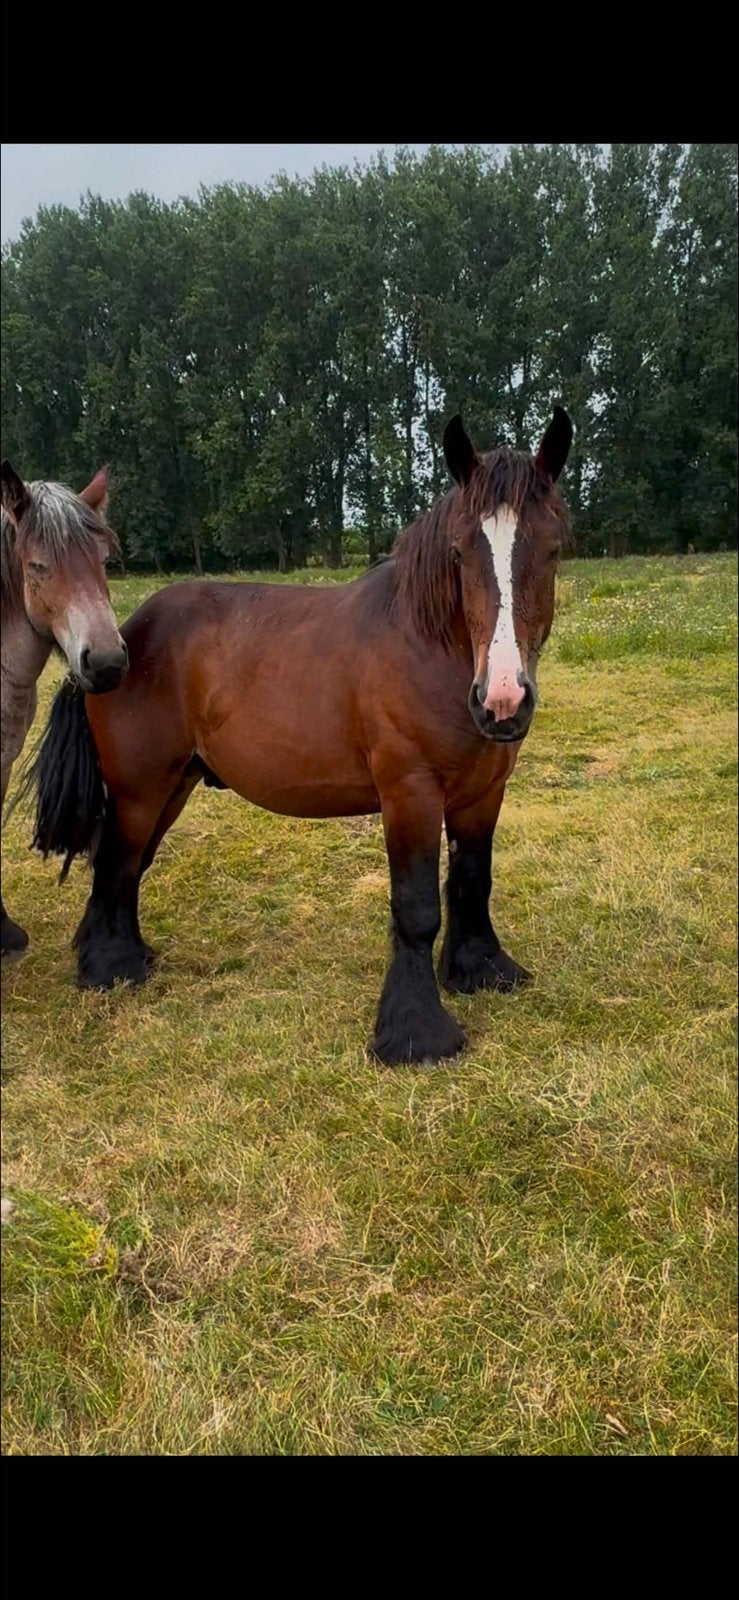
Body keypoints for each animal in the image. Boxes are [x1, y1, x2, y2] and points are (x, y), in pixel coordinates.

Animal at [27, 409, 572, 1064]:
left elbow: (472, 879)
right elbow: (417, 907)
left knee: (128, 864)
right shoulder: (410, 793)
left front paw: (481, 970)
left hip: (173, 785)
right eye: (459, 551)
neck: (429, 646)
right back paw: (112, 968)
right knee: (117, 860)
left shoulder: (483, 792)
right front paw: (416, 1033)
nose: (503, 701)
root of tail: (115, 646)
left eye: (552, 548)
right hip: (140, 787)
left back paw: (119, 956)